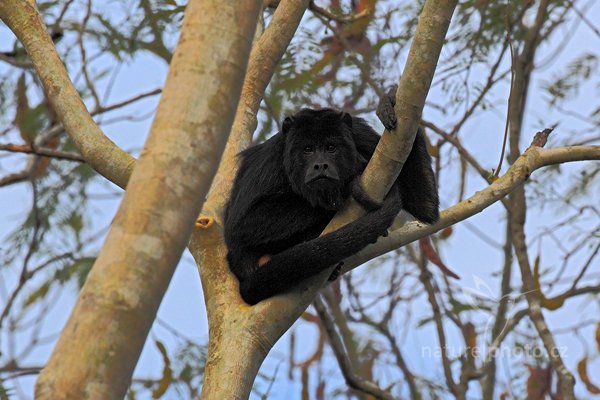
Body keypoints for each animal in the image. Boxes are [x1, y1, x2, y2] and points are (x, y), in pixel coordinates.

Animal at [223, 94, 438, 306]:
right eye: (308, 149)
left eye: (331, 148)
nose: (320, 165)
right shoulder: (270, 159)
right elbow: (240, 226)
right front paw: (343, 189)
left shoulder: (362, 136)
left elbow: (424, 206)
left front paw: (390, 102)